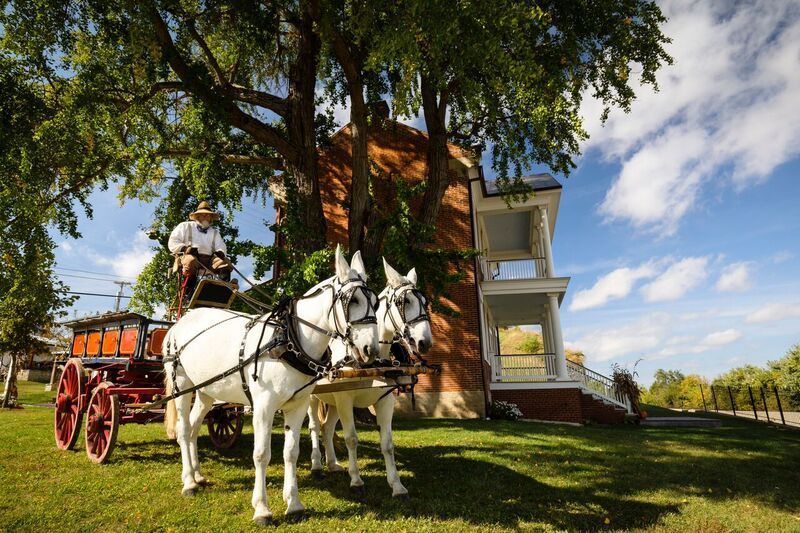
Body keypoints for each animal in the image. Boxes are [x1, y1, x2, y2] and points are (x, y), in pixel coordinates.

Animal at [163, 246, 379, 524]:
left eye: (375, 302)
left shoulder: (297, 406)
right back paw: (189, 482)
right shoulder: (264, 407)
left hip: (205, 391)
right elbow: (261, 455)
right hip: (181, 385)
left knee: (192, 429)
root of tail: (178, 323)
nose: (371, 349)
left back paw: (198, 475)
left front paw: (294, 504)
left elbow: (291, 452)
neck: (289, 340)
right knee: (182, 429)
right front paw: (262, 509)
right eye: (352, 301)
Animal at [308, 258, 433, 497]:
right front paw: (356, 480)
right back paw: (317, 465)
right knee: (315, 427)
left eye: (424, 301)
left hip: (333, 399)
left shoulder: (384, 400)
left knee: (327, 428)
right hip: (312, 398)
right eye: (404, 301)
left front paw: (397, 485)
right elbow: (351, 439)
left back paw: (333, 464)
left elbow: (388, 444)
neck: (371, 365)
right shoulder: (346, 399)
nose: (425, 342)